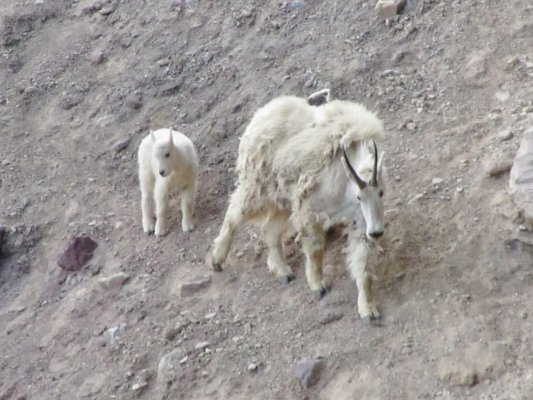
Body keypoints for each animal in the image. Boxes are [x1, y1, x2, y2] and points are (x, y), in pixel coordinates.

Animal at [211, 96, 386, 322]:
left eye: (381, 192)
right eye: (359, 196)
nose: (377, 232)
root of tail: (258, 117)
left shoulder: (360, 224)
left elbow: (363, 267)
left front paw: (367, 309)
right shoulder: (309, 210)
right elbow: (315, 250)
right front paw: (318, 286)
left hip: (282, 199)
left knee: (269, 230)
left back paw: (282, 271)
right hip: (257, 187)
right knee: (233, 215)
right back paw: (217, 260)